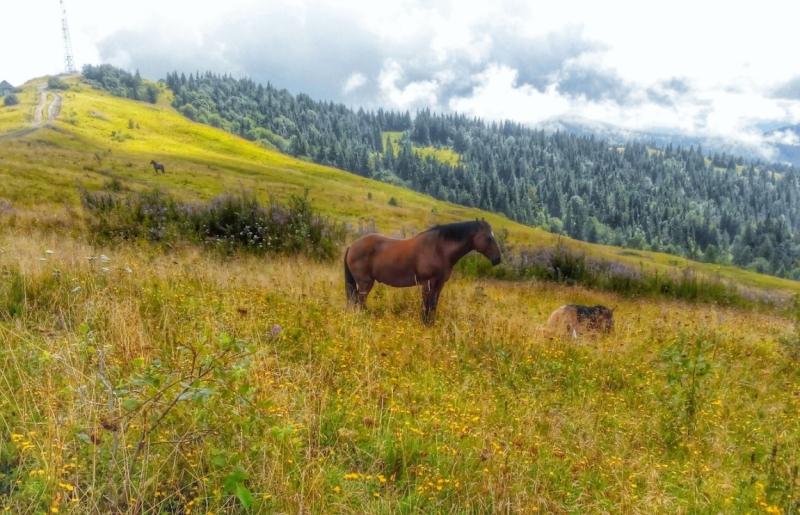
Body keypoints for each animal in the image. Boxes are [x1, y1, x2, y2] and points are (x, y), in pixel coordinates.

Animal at [342, 220, 500, 324]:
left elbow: (433, 304)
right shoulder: (427, 283)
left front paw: (430, 323)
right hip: (365, 283)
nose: (498, 259)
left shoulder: (439, 283)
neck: (439, 248)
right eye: (488, 238)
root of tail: (352, 246)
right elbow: (426, 303)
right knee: (359, 301)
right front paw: (424, 323)